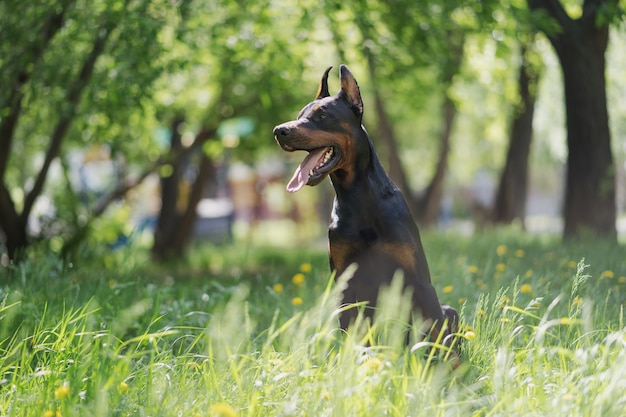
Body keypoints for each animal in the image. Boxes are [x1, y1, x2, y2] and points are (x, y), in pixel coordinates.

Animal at [270, 65, 456, 344]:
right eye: (299, 115)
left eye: (322, 114)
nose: (279, 131)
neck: (358, 196)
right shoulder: (345, 283)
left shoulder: (418, 279)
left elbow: (438, 335)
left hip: (449, 309)